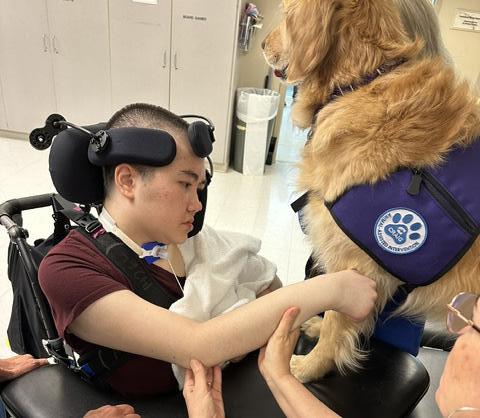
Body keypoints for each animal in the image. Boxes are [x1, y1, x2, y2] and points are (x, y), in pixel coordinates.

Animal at [263, 0, 480, 382]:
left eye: (286, 16)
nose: (260, 44)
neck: (359, 83)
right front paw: (318, 330)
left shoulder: (358, 265)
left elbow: (339, 322)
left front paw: (309, 367)